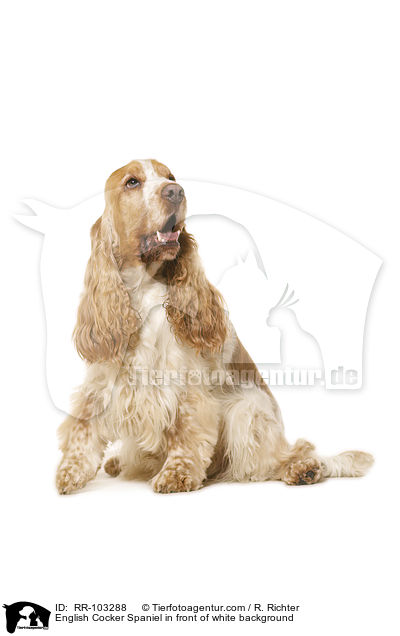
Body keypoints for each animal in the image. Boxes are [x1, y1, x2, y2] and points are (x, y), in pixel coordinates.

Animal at [54, 157, 374, 494]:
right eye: (132, 182)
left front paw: (177, 474)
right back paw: (118, 463)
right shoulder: (102, 382)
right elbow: (82, 427)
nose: (176, 192)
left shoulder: (187, 386)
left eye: (170, 177)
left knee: (288, 455)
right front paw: (70, 471)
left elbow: (185, 431)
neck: (144, 287)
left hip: (247, 410)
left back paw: (304, 469)